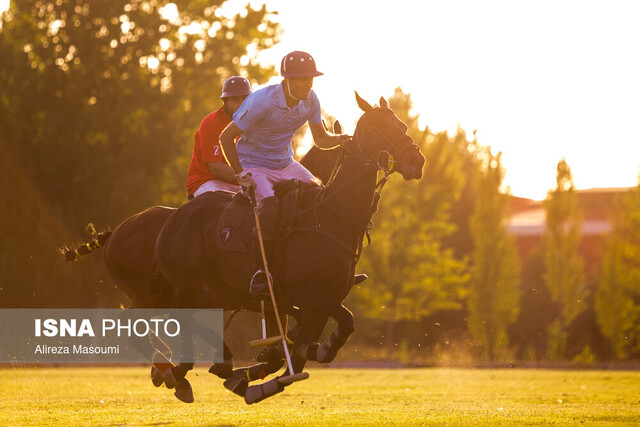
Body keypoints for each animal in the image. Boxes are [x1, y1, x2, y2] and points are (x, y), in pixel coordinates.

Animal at [155, 93, 424, 404]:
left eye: (402, 125)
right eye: (380, 127)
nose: (417, 161)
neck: (332, 217)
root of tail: (173, 217)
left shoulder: (325, 298)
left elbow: (300, 353)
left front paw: (262, 377)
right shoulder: (306, 291)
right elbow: (343, 321)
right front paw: (317, 349)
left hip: (220, 289)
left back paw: (215, 370)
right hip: (190, 283)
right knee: (180, 320)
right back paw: (179, 373)